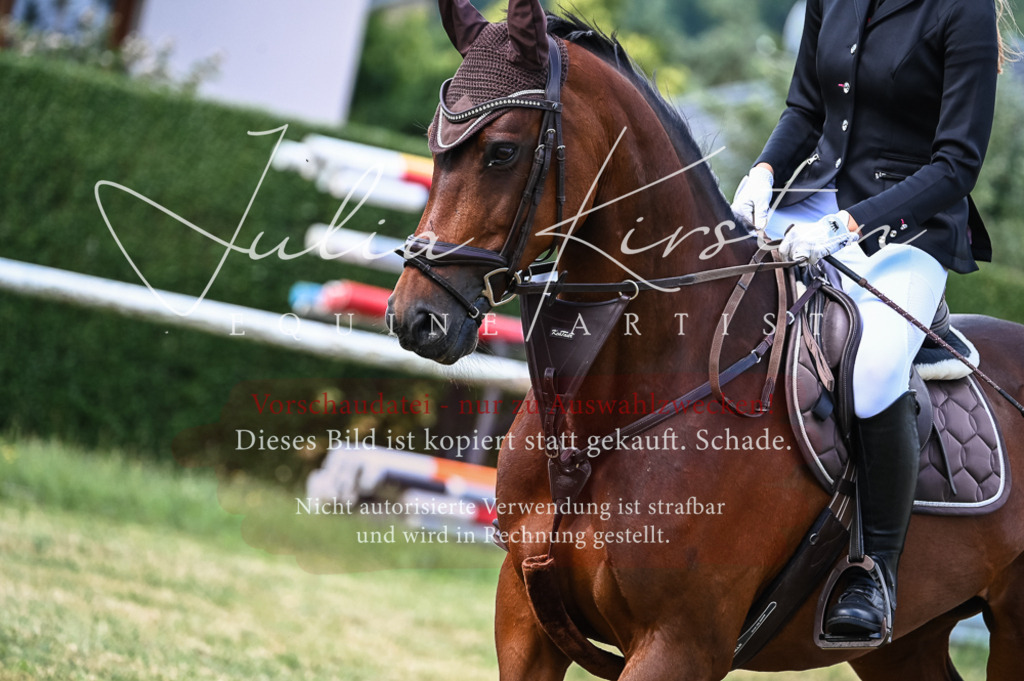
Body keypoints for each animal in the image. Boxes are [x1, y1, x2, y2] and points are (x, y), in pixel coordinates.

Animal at [386, 2, 1024, 679]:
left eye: (502, 151)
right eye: (434, 145)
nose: (416, 317)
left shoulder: (681, 642)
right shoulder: (522, 615)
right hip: (906, 641)